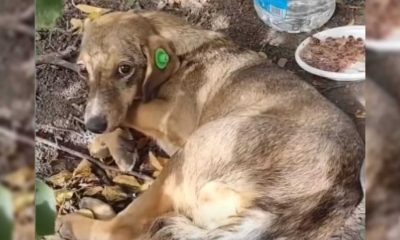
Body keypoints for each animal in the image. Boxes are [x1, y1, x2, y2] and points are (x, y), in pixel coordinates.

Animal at [56, 10, 366, 240]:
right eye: (83, 70)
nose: (93, 125)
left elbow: (130, 108)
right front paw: (112, 143)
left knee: (122, 229)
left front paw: (111, 137)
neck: (183, 51)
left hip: (190, 153)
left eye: (125, 69)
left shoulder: (172, 118)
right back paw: (93, 204)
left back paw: (73, 220)